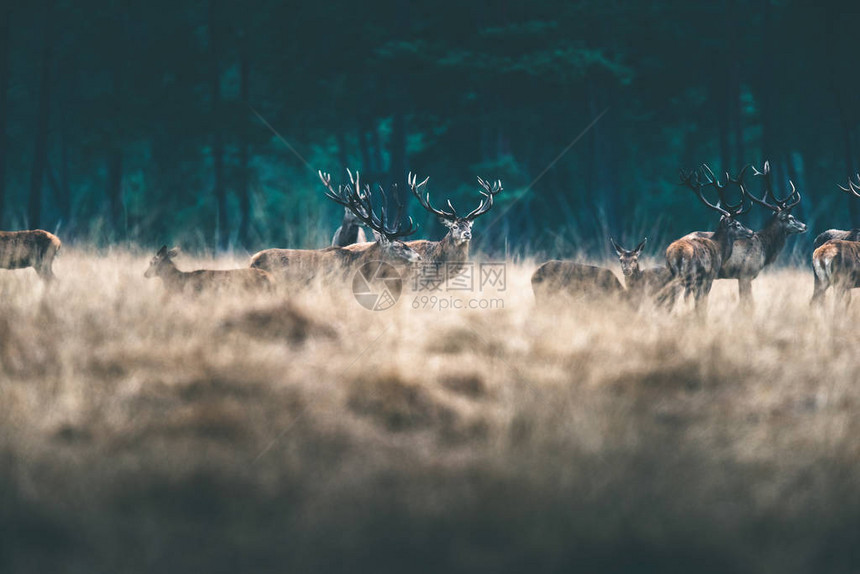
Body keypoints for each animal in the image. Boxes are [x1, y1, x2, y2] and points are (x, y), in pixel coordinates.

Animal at [660, 164, 752, 318]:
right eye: (737, 224)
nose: (751, 232)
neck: (720, 250)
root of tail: (677, 253)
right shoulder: (709, 276)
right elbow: (702, 302)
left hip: (672, 273)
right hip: (689, 275)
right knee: (683, 297)